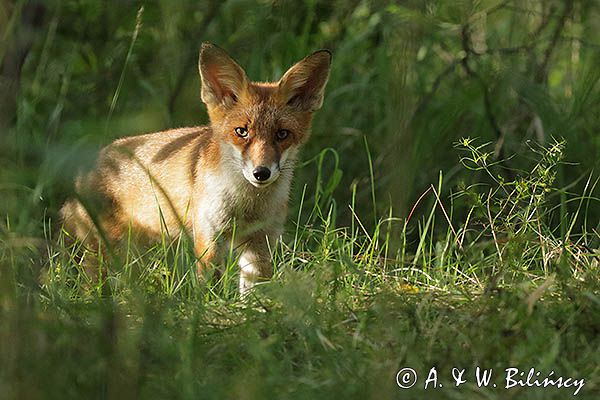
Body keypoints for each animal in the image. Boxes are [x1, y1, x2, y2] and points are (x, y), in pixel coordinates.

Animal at [59, 43, 332, 294]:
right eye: (241, 132)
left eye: (282, 134)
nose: (261, 173)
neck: (247, 206)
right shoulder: (209, 239)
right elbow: (210, 290)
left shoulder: (260, 244)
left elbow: (255, 294)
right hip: (109, 252)